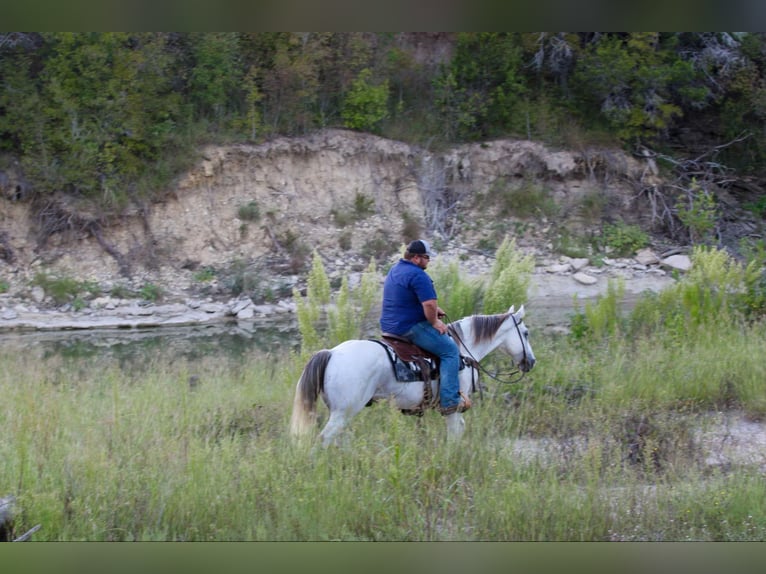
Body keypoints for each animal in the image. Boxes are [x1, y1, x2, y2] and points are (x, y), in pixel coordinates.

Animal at [292, 304, 536, 448]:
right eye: (525, 333)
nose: (531, 362)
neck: (463, 351)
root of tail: (331, 353)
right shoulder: (453, 406)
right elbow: (454, 433)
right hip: (343, 412)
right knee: (323, 440)